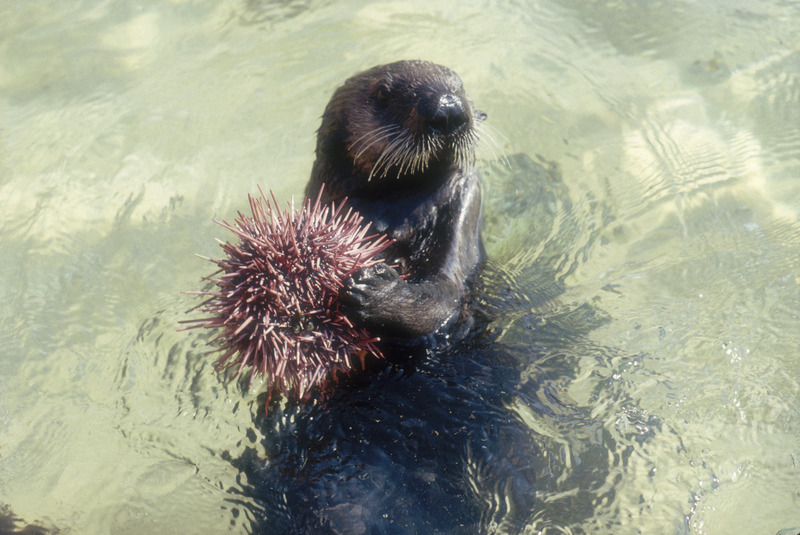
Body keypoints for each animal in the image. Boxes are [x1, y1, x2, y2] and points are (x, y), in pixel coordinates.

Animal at [305, 60, 484, 340]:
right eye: (383, 94)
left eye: (461, 86)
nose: (449, 108)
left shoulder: (463, 209)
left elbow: (445, 295)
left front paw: (375, 289)